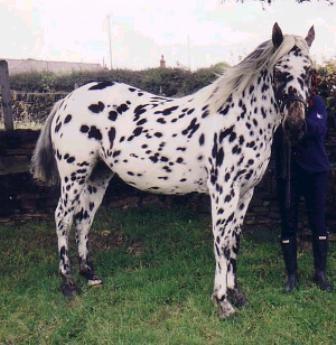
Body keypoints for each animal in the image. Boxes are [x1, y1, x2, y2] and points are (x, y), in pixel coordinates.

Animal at [31, 23, 316, 318]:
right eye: (279, 71)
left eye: (309, 71)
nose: (296, 125)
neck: (240, 118)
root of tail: (66, 100)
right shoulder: (223, 191)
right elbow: (221, 241)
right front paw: (222, 301)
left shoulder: (246, 192)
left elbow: (234, 240)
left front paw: (236, 292)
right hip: (74, 174)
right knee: (63, 217)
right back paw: (67, 283)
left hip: (98, 176)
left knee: (84, 218)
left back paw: (89, 273)